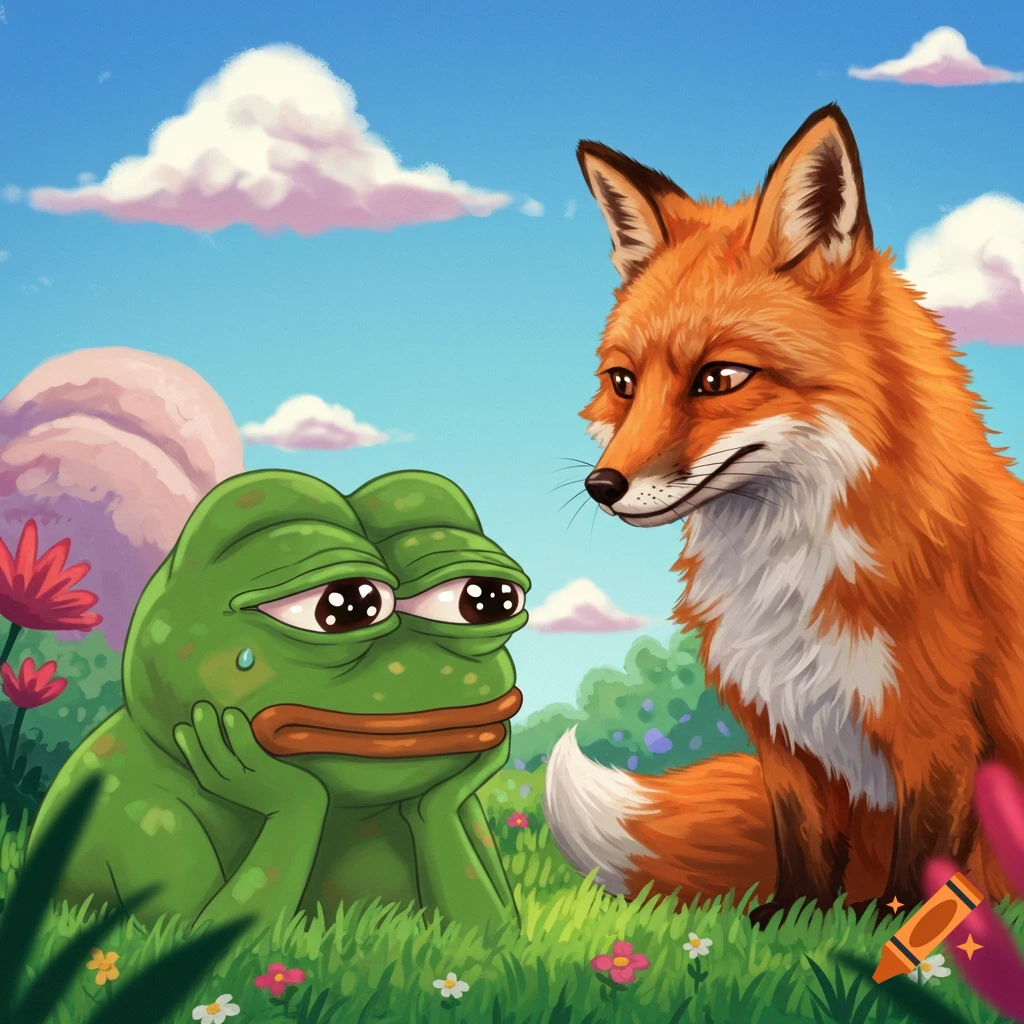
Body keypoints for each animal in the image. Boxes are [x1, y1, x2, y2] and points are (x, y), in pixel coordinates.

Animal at [542, 102, 1024, 927]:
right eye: (623, 382)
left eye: (719, 378)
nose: (602, 486)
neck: (792, 570)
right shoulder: (782, 729)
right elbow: (801, 848)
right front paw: (788, 923)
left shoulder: (937, 731)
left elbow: (925, 863)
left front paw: (902, 924)